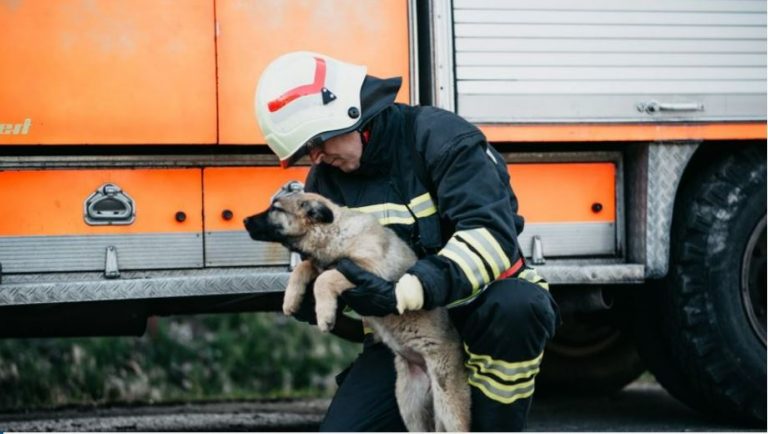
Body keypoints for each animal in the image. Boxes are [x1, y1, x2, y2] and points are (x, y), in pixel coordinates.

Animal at [243, 183, 468, 430]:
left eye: (276, 208)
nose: (244, 220)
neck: (334, 231)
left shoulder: (369, 269)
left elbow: (326, 278)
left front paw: (324, 315)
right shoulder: (320, 264)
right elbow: (304, 267)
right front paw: (291, 300)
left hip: (448, 404)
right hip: (410, 405)